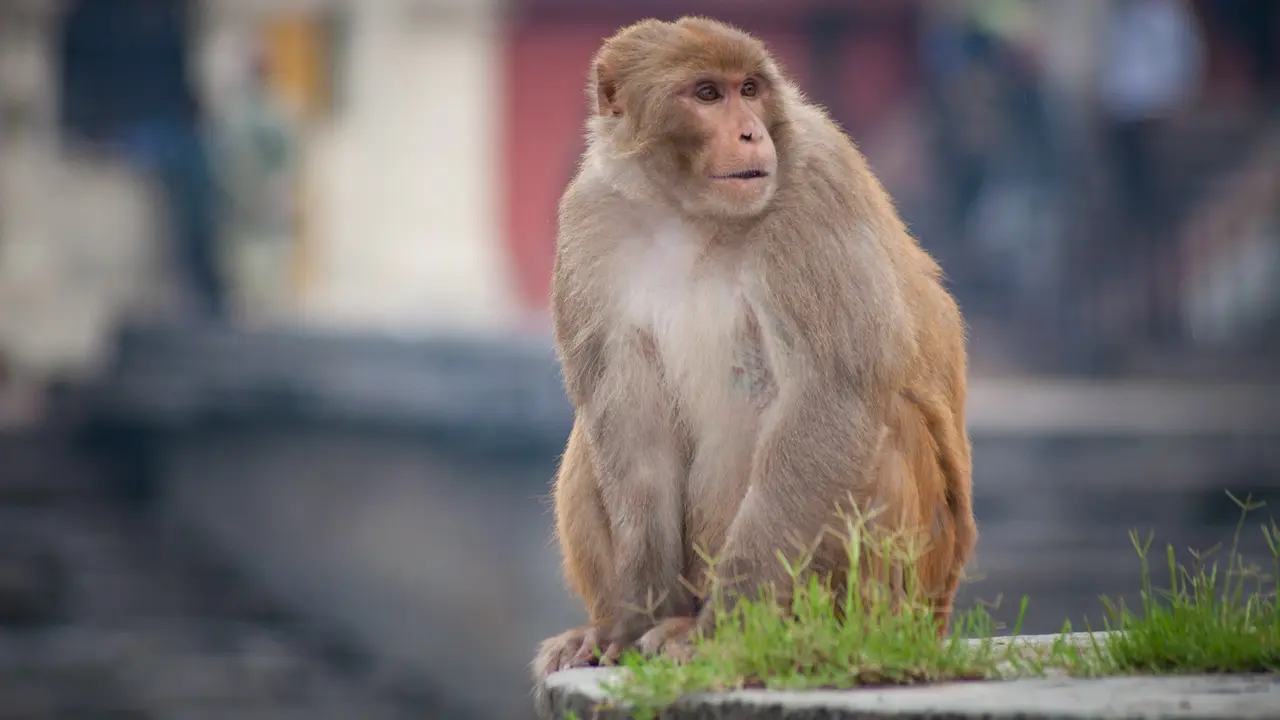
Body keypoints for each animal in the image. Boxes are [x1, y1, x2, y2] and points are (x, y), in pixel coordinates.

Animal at [532, 15, 976, 691]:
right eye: (707, 94)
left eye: (749, 89)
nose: (750, 132)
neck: (689, 212)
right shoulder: (591, 216)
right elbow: (629, 427)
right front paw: (629, 623)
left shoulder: (819, 184)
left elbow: (830, 396)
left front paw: (723, 633)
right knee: (594, 437)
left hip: (914, 591)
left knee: (884, 423)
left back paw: (810, 636)